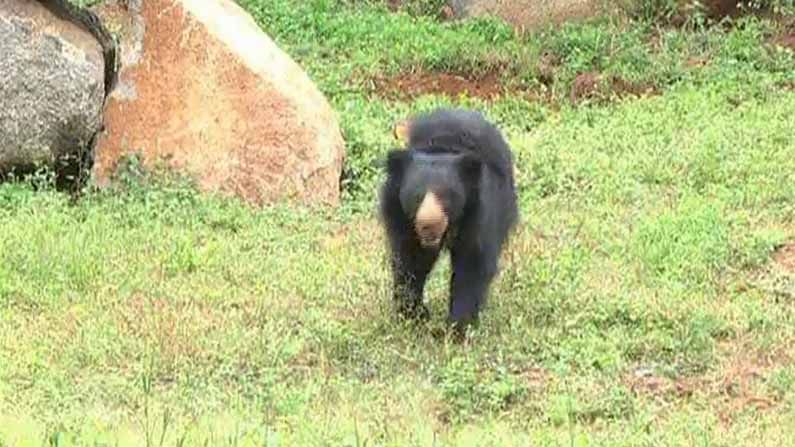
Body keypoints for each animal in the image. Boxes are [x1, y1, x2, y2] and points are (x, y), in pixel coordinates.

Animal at [380, 107, 524, 334]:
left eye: (446, 196)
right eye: (416, 197)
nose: (428, 225)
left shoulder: (480, 212)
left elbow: (472, 265)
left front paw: (457, 328)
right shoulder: (400, 218)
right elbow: (410, 260)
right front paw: (414, 316)